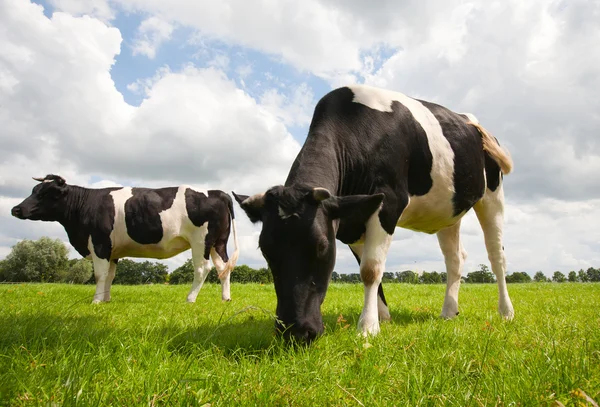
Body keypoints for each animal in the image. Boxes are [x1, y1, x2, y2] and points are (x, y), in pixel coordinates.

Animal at [11, 176, 237, 306]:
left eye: (47, 193)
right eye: (34, 190)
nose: (16, 209)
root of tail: (218, 192)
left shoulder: (99, 243)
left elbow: (100, 274)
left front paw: (96, 301)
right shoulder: (112, 250)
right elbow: (110, 275)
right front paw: (106, 299)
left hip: (201, 241)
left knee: (202, 269)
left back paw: (190, 299)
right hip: (218, 243)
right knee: (223, 268)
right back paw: (225, 298)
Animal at [234, 84, 516, 342]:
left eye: (322, 246)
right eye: (265, 250)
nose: (295, 332)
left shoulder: (388, 203)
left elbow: (370, 269)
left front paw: (368, 327)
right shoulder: (351, 219)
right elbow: (370, 270)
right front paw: (382, 316)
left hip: (493, 194)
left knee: (496, 256)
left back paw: (506, 312)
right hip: (448, 211)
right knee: (455, 258)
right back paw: (448, 311)